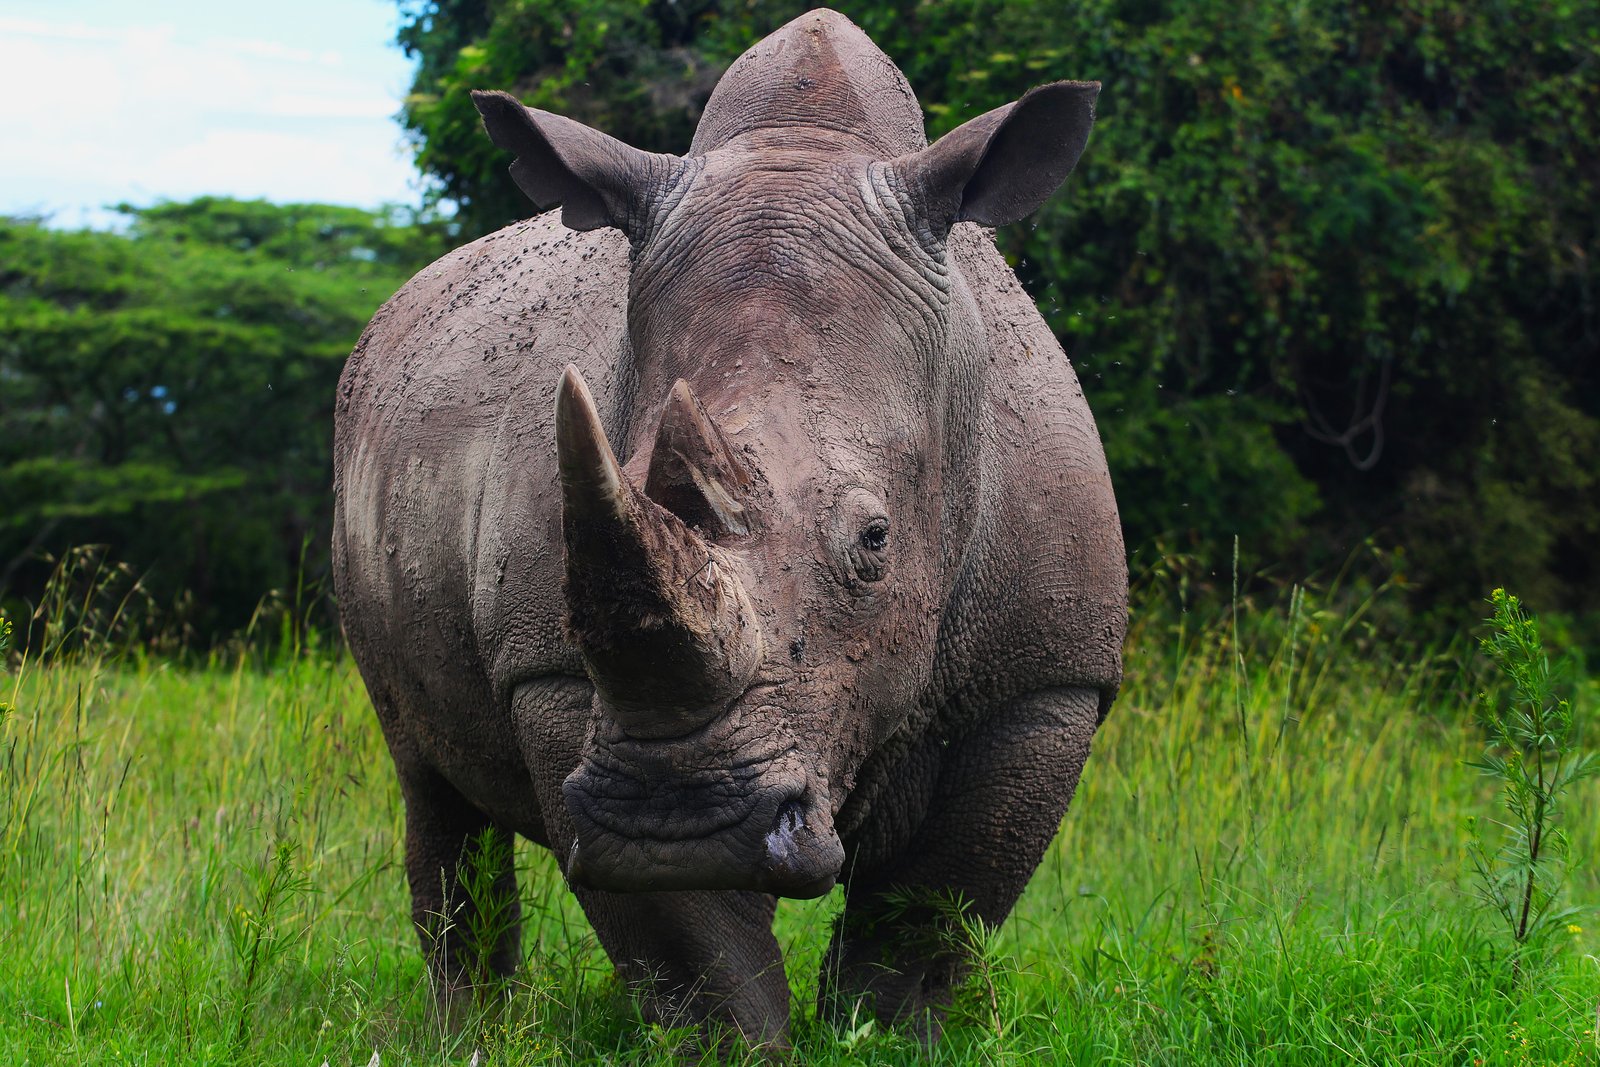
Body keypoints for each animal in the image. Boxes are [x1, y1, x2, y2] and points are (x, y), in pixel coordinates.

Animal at [332, 7, 1125, 1047]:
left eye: (875, 542)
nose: (676, 819)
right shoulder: (548, 671)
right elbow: (696, 950)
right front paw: (735, 1040)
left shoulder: (1046, 676)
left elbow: (930, 916)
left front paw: (881, 1039)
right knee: (430, 784)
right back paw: (471, 1035)